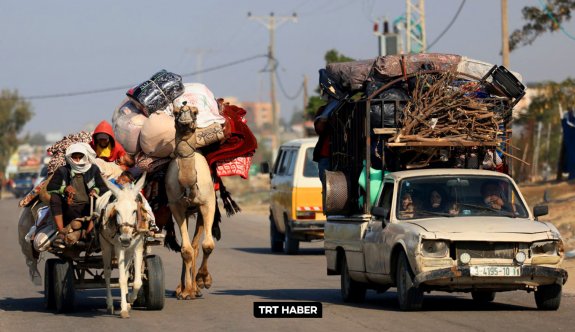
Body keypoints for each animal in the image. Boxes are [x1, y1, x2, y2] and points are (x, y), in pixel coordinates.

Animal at [98, 175, 146, 318]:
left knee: (125, 272)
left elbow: (136, 281)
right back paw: (110, 305)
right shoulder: (119, 248)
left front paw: (130, 299)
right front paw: (124, 309)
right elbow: (122, 280)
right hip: (106, 246)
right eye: (117, 211)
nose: (124, 239)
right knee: (107, 273)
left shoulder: (137, 247)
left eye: (135, 210)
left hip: (128, 251)